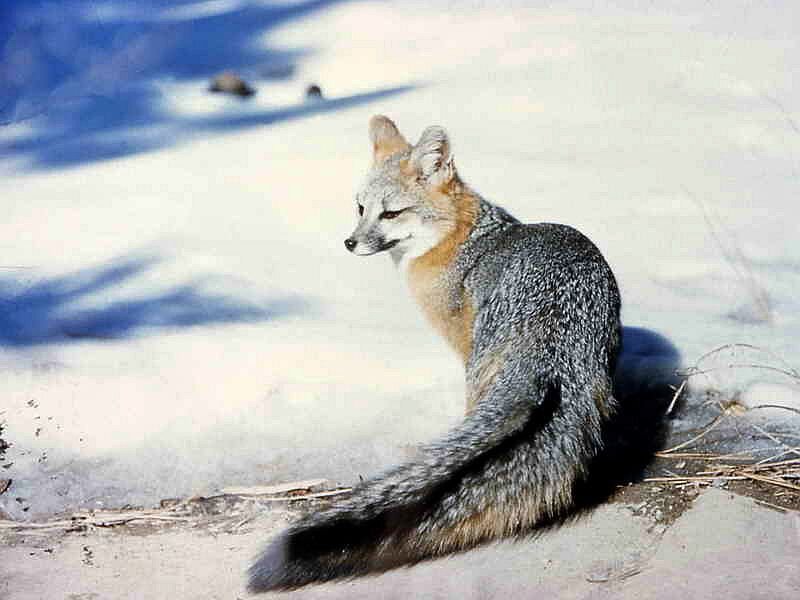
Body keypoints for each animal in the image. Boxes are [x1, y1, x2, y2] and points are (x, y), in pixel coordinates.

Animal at [248, 115, 622, 592]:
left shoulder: (463, 346)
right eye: (360, 208)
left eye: (390, 213)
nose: (349, 243)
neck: (462, 240)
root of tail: (554, 334)